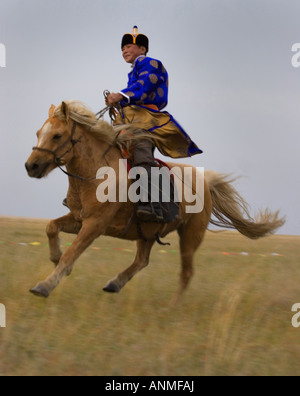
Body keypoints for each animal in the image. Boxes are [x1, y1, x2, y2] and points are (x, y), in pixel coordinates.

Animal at [25, 101, 284, 300]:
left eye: (57, 135)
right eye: (38, 133)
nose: (31, 166)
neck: (97, 172)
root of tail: (205, 182)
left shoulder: (95, 224)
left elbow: (72, 253)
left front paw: (44, 285)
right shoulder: (79, 218)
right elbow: (51, 228)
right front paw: (55, 258)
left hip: (191, 235)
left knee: (186, 272)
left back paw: (173, 306)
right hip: (147, 231)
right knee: (142, 260)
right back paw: (115, 283)